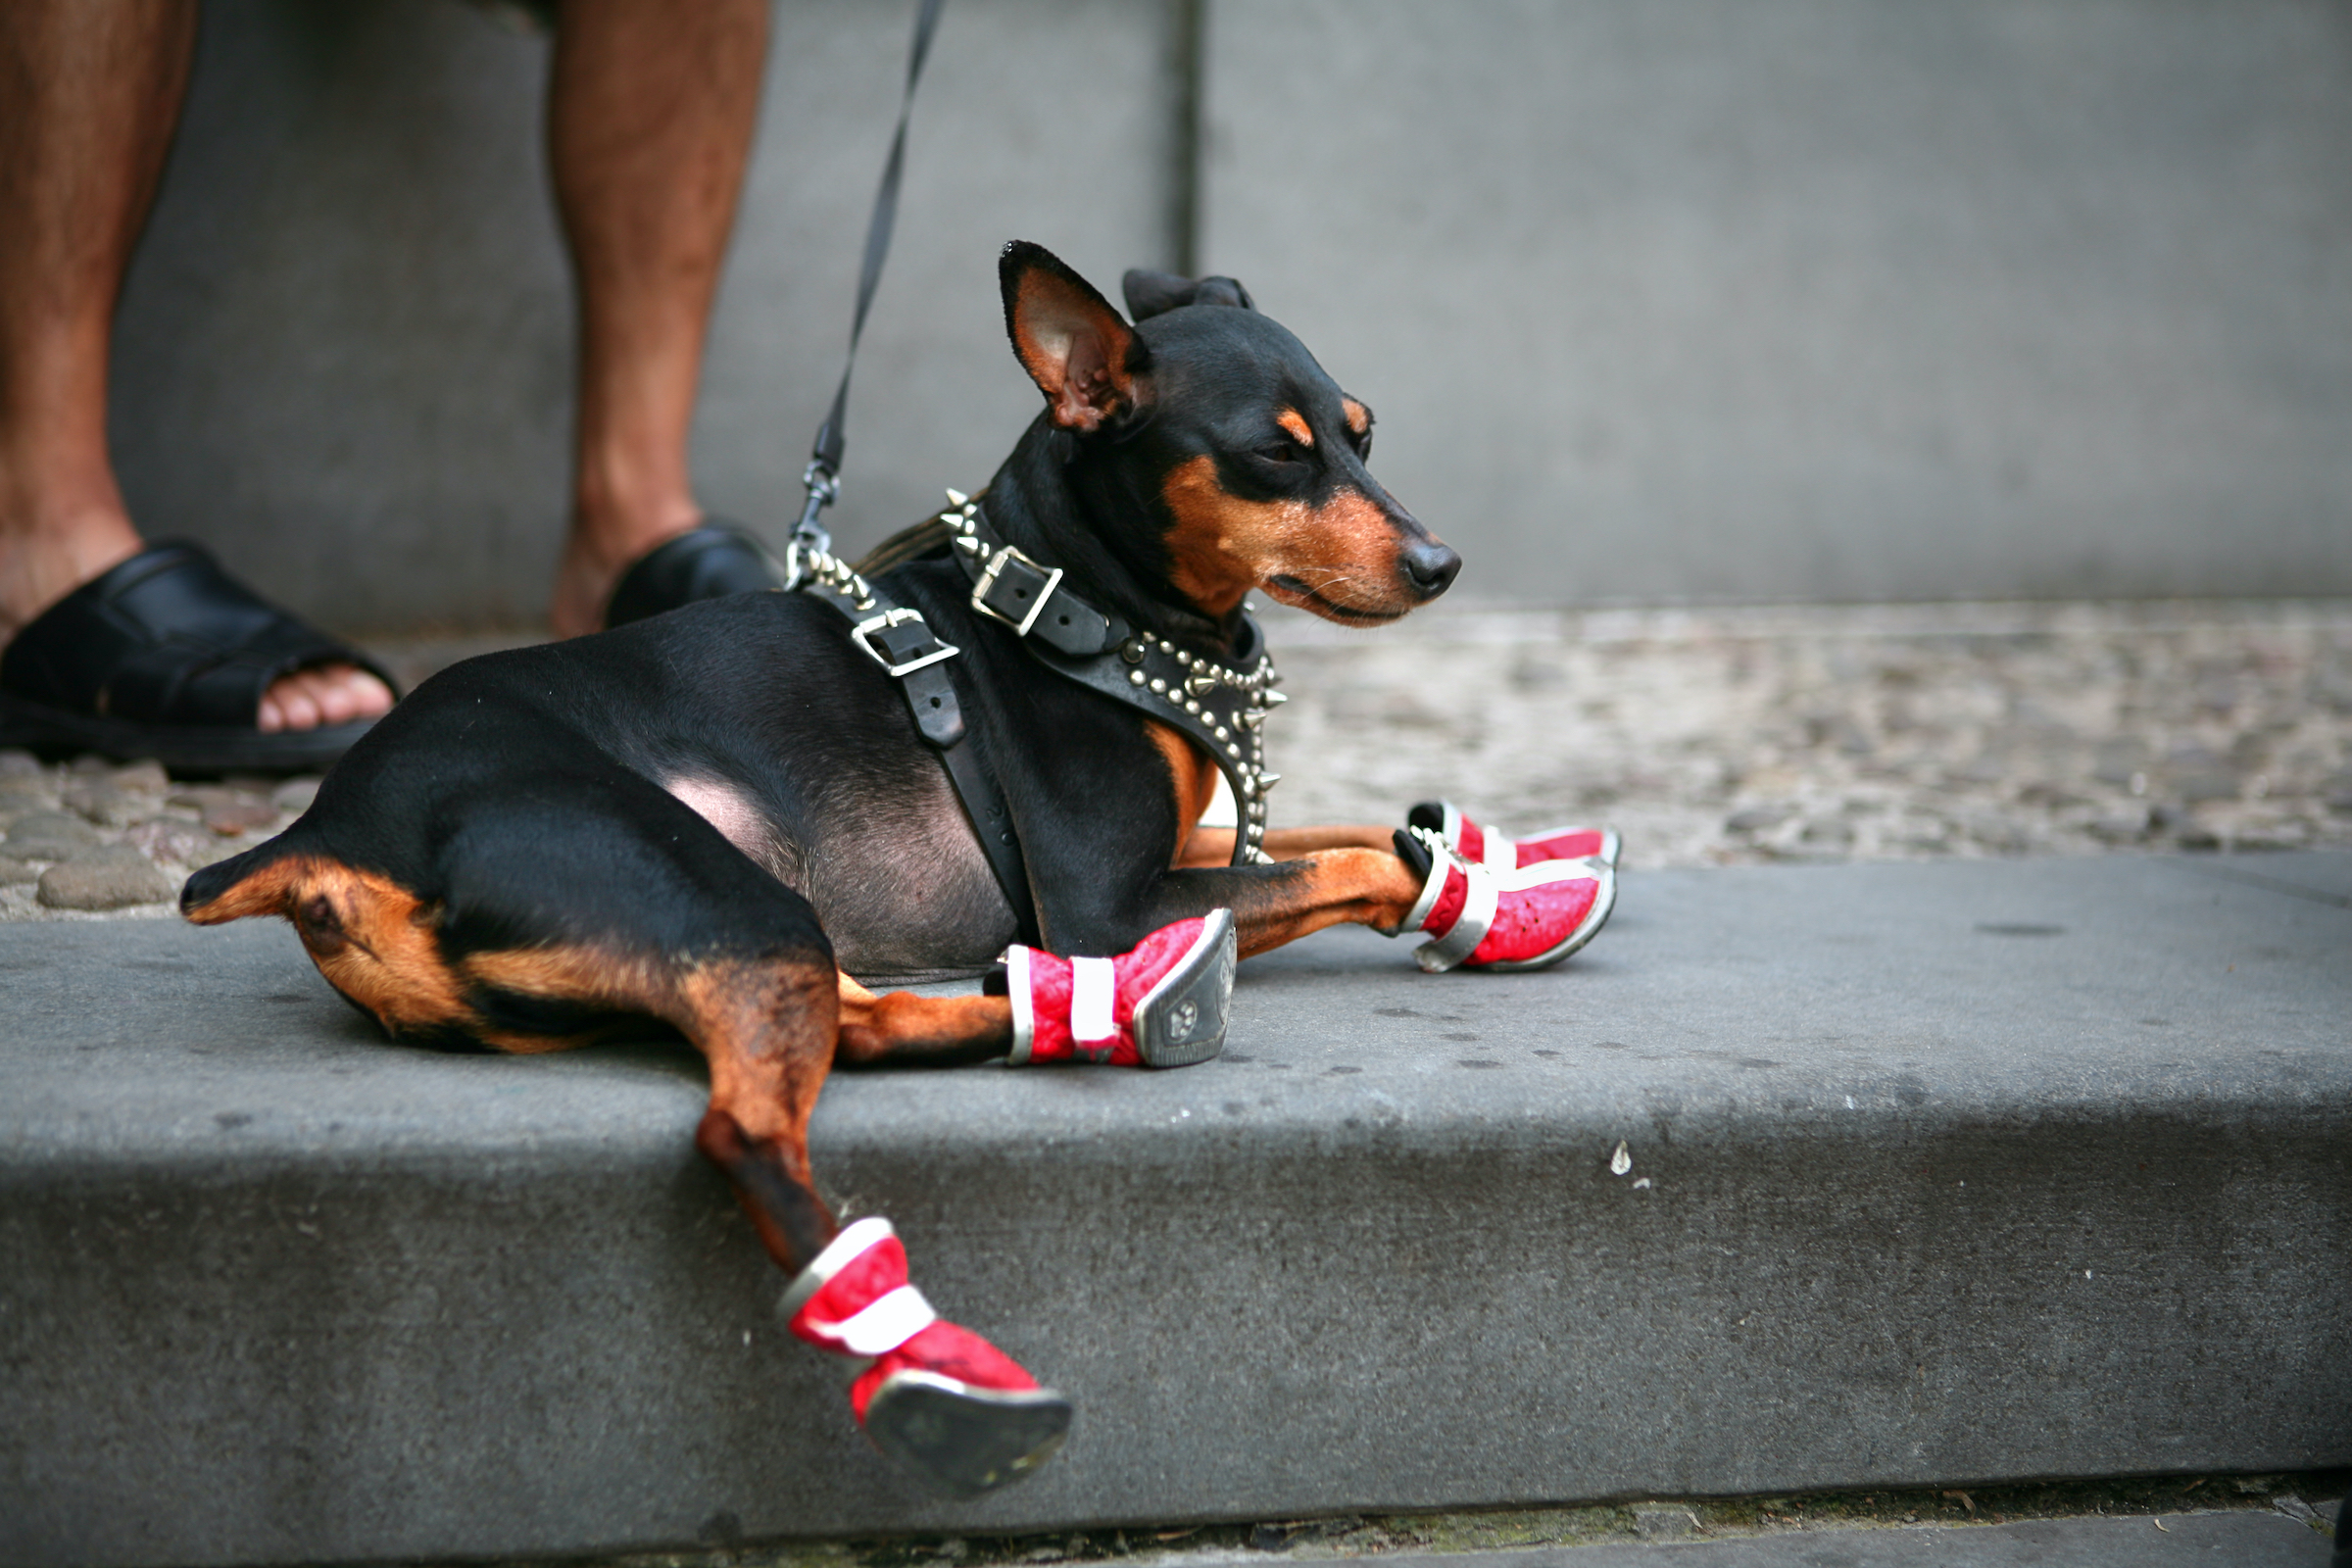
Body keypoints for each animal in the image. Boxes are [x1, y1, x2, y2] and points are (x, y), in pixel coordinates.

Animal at [183, 245, 1618, 1494]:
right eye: (1276, 455)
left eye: (1363, 432)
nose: (1442, 564)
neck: (1075, 606)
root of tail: (328, 837)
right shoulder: (1102, 894)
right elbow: (1356, 860)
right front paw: (1467, 889)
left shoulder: (1184, 855)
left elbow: (1343, 832)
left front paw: (1505, 879)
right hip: (716, 887)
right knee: (751, 1128)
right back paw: (942, 1361)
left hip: (744, 927)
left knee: (857, 1026)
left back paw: (1083, 1009)